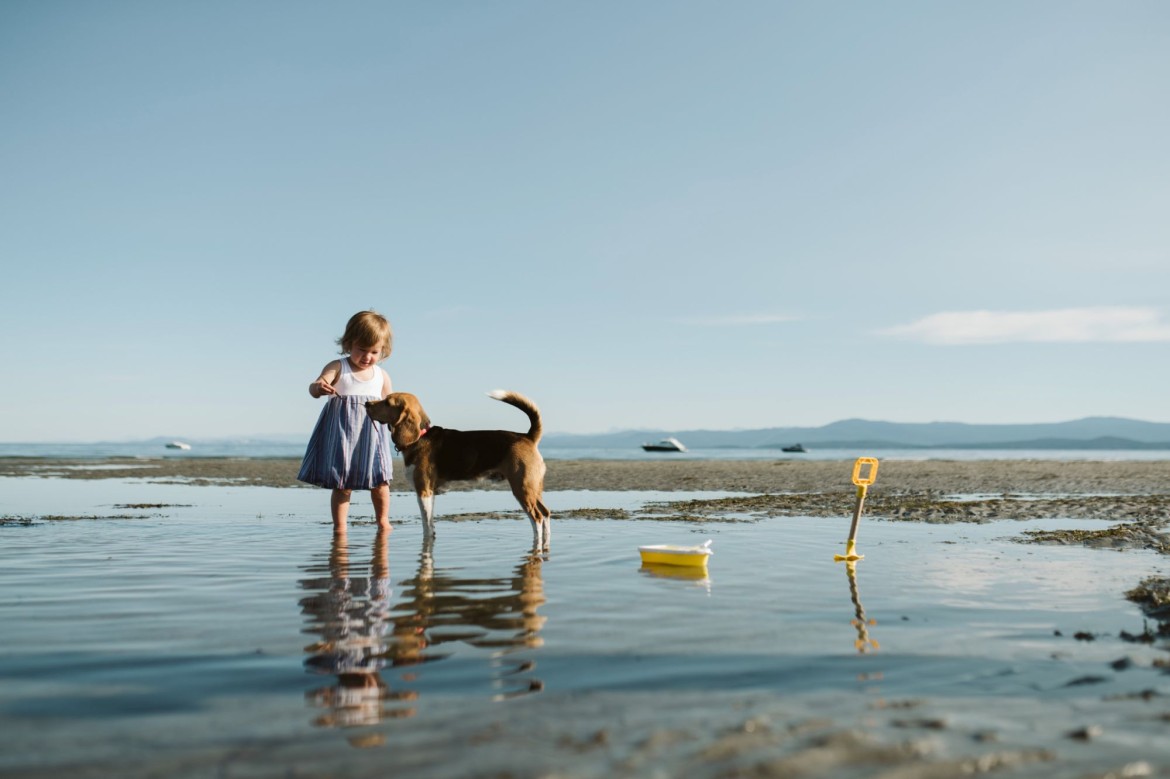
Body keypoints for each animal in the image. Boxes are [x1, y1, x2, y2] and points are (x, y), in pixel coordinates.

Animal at [365, 388, 552, 545]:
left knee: (537, 518)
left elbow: (426, 525)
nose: (366, 404)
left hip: (522, 488)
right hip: (534, 488)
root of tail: (527, 437)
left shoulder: (423, 491)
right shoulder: (430, 493)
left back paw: (536, 546)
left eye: (387, 402)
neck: (420, 436)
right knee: (546, 513)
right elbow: (430, 524)